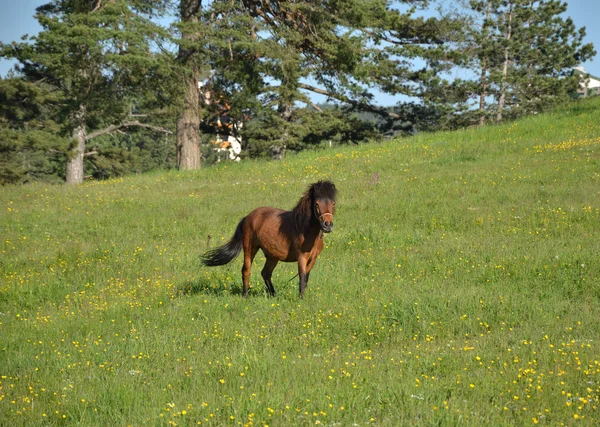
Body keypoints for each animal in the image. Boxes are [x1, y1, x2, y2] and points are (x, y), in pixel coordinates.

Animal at [203, 181, 338, 298]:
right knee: (246, 270)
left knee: (265, 273)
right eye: (317, 204)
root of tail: (247, 217)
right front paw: (301, 299)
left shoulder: (313, 258)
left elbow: (306, 278)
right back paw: (245, 295)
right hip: (250, 248)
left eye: (333, 203)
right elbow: (302, 277)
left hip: (272, 256)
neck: (304, 229)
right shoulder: (301, 257)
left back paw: (273, 294)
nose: (328, 225)